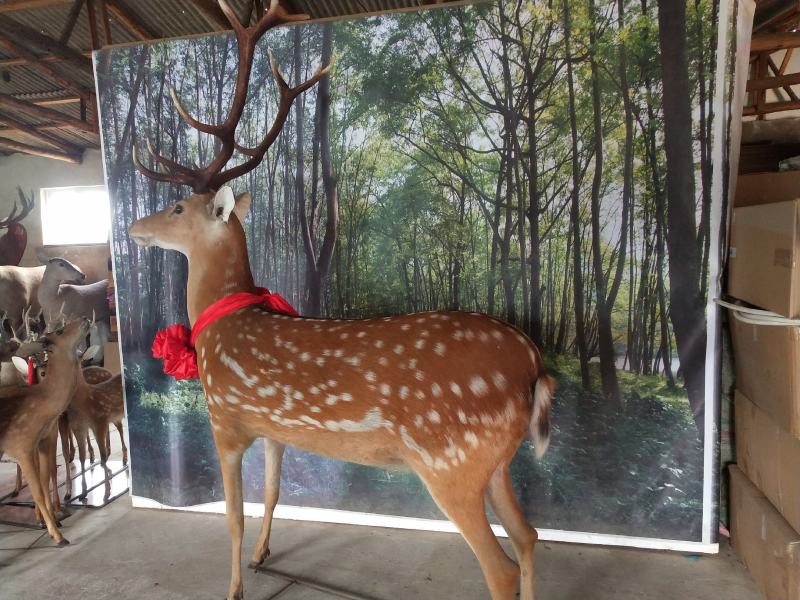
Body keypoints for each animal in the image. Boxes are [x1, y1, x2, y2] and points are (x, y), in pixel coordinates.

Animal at [0, 317, 92, 546]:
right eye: (59, 331)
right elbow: (38, 492)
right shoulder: (20, 444)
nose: (85, 319)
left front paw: (54, 523)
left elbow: (45, 480)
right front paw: (58, 536)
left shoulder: (42, 441)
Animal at [127, 2, 555, 600]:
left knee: (502, 567)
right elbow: (274, 492)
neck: (221, 324)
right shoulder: (274, 429)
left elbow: (232, 516)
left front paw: (234, 586)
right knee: (530, 537)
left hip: (450, 460)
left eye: (176, 207)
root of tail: (534, 363)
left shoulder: (225, 418)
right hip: (496, 464)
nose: (132, 227)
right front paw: (261, 556)